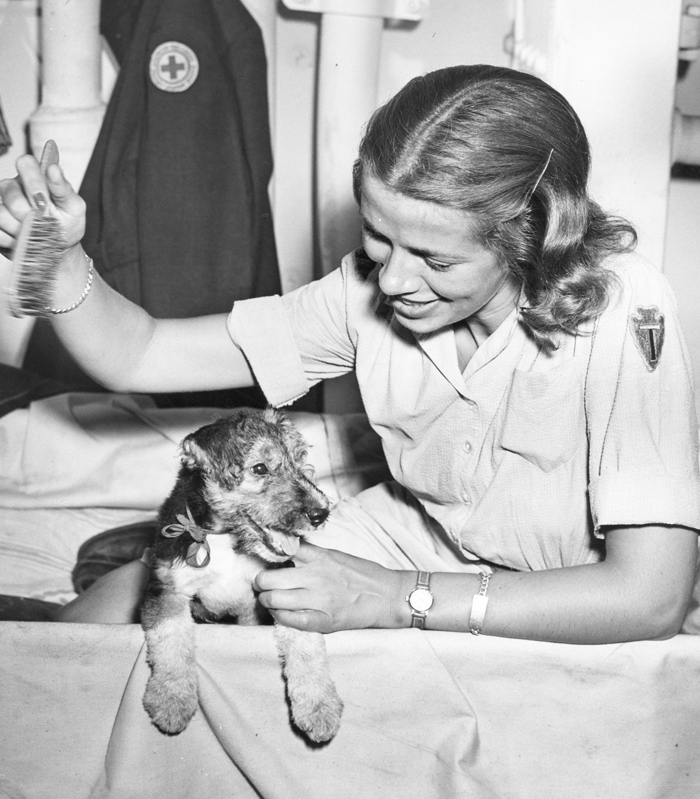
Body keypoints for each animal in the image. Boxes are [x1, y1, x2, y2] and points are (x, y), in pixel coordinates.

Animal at [139, 410, 342, 748]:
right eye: (259, 468)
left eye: (300, 459)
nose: (320, 514)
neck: (226, 539)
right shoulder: (167, 590)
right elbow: (170, 640)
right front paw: (171, 701)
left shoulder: (280, 591)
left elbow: (305, 644)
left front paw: (319, 708)